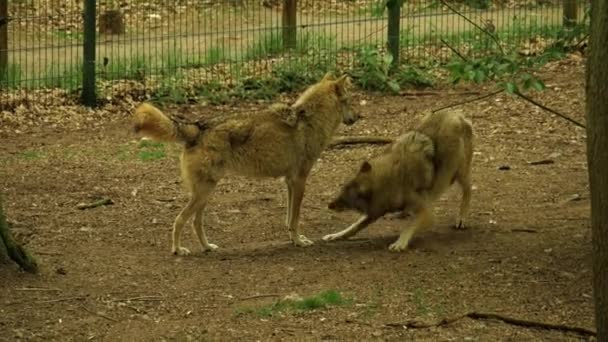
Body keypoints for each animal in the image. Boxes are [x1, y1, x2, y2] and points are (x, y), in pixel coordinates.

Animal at [131, 73, 354, 255]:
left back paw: (207, 247)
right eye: (349, 102)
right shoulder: (299, 181)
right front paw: (299, 241)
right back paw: (178, 250)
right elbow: (295, 218)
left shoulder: (290, 182)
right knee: (179, 219)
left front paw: (293, 239)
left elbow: (289, 218)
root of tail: (197, 127)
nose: (358, 116)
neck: (310, 120)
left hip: (206, 193)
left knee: (195, 221)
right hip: (204, 192)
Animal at [326, 109, 472, 251]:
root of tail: (458, 114)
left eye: (345, 201)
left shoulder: (427, 214)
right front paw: (335, 235)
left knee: (468, 189)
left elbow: (408, 228)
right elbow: (353, 226)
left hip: (458, 173)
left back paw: (462, 218)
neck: (394, 180)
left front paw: (400, 243)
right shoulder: (374, 211)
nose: (329, 205)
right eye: (340, 192)